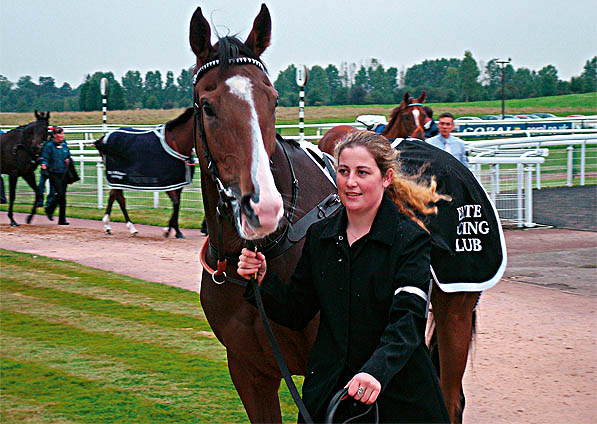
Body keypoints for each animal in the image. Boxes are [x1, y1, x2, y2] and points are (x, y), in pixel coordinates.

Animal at [93, 107, 194, 237]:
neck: (176, 143)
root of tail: (105, 137)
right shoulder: (167, 183)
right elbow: (176, 203)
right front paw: (167, 231)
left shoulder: (178, 184)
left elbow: (177, 204)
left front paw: (175, 231)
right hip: (117, 176)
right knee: (118, 198)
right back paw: (115, 225)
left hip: (119, 179)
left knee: (115, 196)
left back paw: (122, 227)